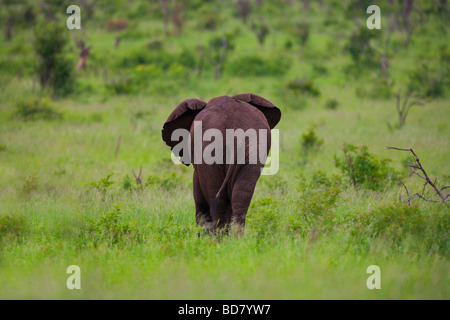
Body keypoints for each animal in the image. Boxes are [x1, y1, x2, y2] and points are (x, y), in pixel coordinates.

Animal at [162, 92, 282, 232]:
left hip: (210, 149)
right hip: (253, 148)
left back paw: (218, 236)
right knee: (242, 194)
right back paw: (236, 236)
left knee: (216, 195)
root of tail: (235, 131)